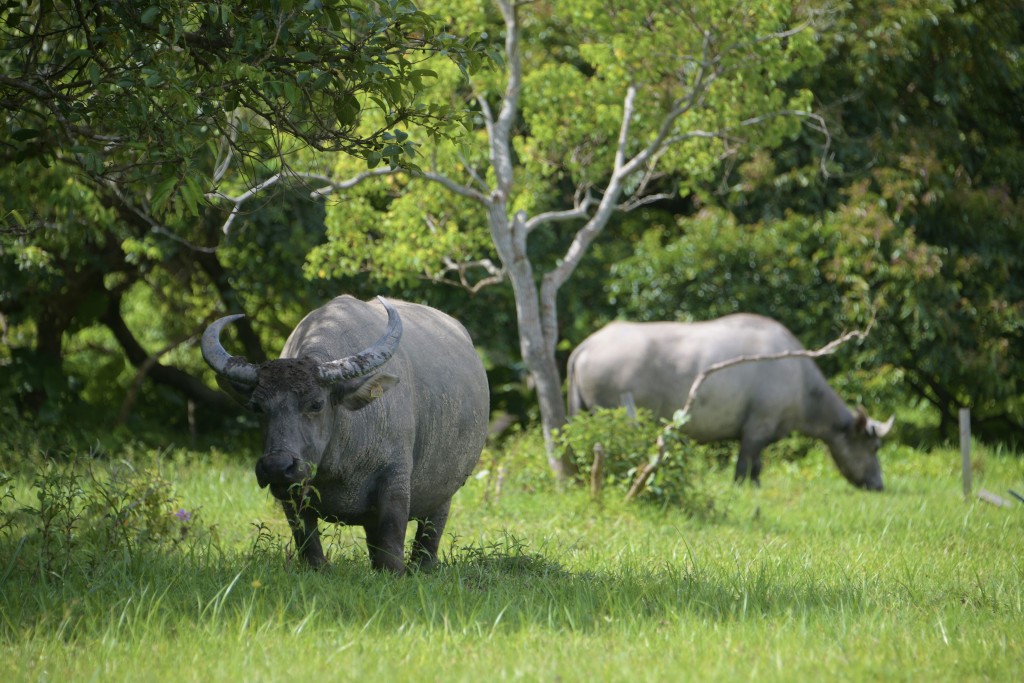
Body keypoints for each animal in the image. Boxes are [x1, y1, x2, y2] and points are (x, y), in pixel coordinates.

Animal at [201, 296, 489, 573]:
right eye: (257, 407)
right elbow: (308, 542)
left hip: (444, 494)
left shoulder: (395, 481)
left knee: (429, 534)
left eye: (317, 404)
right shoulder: (292, 492)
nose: (276, 466)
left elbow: (392, 541)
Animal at [569, 315, 897, 491]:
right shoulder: (756, 429)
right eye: (874, 447)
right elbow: (745, 467)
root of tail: (587, 345)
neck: (803, 387)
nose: (878, 484)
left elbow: (757, 467)